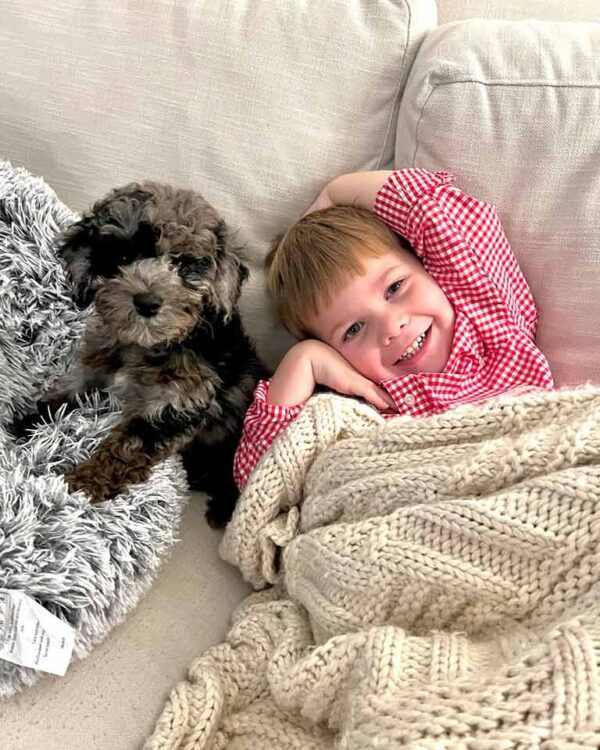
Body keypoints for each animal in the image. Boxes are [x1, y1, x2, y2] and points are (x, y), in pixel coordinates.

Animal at [9, 182, 266, 528]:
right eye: (123, 256)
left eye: (183, 266)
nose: (147, 302)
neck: (146, 344)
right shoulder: (98, 365)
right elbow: (71, 389)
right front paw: (31, 418)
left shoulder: (175, 405)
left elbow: (125, 448)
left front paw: (83, 484)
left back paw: (222, 508)